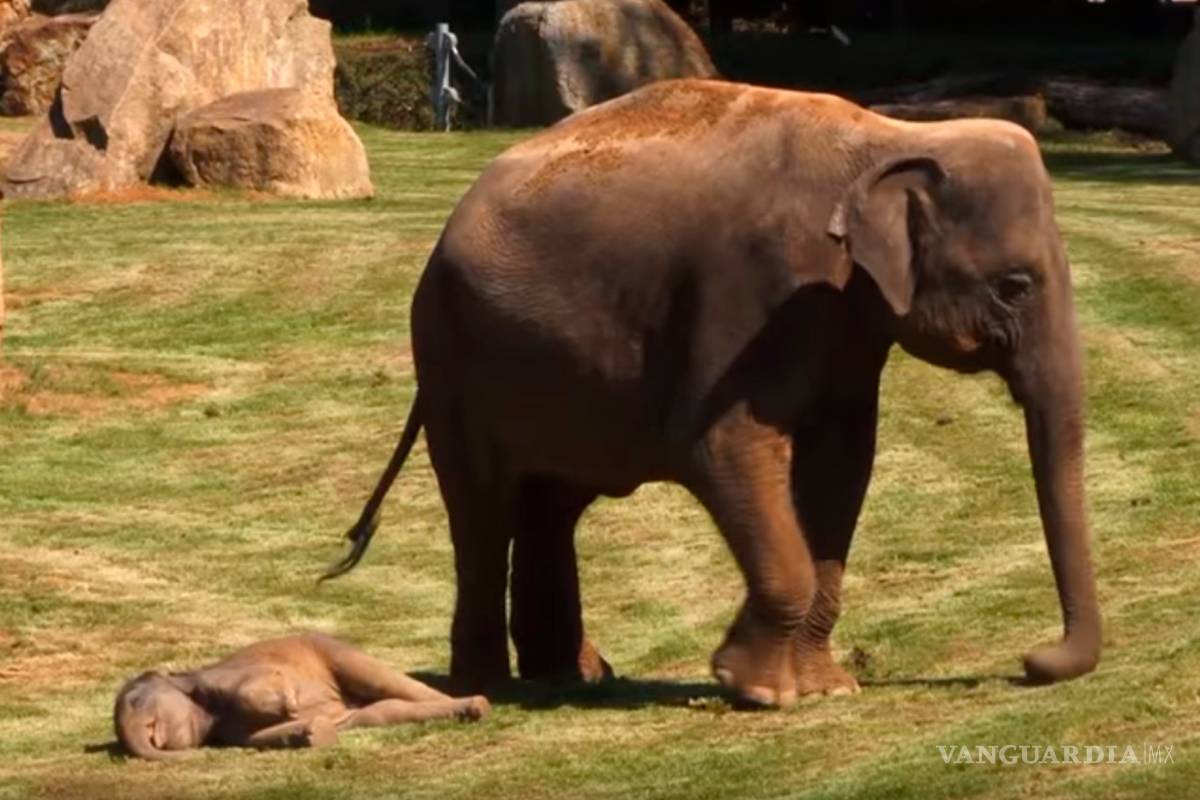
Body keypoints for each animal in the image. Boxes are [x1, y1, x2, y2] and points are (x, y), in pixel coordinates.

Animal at [114, 633, 490, 759]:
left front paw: (291, 705)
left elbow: (266, 683)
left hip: (330, 648)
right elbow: (263, 736)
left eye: (135, 700)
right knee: (384, 711)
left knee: (386, 683)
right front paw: (313, 731)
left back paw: (479, 705)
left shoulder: (222, 677)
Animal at [326, 78, 1101, 708]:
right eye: (1015, 286)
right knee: (483, 509)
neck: (887, 137)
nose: (1033, 661)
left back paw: (574, 676)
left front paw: (824, 688)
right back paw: (488, 686)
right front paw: (755, 688)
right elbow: (722, 444)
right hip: (453, 360)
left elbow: (841, 464)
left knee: (551, 505)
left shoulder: (845, 321)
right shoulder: (755, 290)